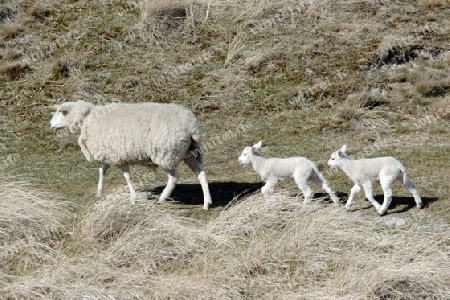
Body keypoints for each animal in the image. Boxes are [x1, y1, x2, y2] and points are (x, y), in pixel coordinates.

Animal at [50, 99, 212, 210]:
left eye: (59, 112)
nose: (50, 125)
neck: (87, 120)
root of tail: (191, 125)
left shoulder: (118, 157)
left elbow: (127, 177)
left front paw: (133, 198)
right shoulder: (109, 154)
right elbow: (102, 171)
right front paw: (99, 192)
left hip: (166, 153)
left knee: (174, 177)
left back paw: (162, 198)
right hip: (191, 152)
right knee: (201, 174)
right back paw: (206, 203)